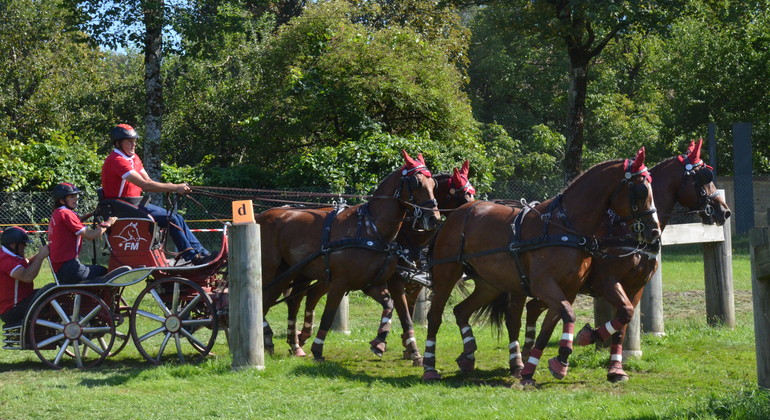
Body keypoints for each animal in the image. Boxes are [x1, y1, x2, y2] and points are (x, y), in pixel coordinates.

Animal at [274, 161, 474, 360]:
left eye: (471, 192)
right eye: (461, 194)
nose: (434, 218)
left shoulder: (413, 285)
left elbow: (406, 313)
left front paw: (407, 347)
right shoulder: (394, 282)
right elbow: (404, 315)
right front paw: (408, 348)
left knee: (310, 296)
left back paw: (300, 338)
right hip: (306, 273)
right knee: (297, 299)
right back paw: (296, 341)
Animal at [424, 148, 656, 384]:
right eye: (641, 190)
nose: (653, 230)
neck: (565, 227)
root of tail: (456, 214)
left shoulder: (568, 290)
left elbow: (551, 324)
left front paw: (533, 367)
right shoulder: (546, 285)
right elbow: (568, 315)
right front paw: (562, 358)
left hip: (490, 284)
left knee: (462, 310)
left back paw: (470, 354)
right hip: (447, 274)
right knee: (434, 316)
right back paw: (429, 366)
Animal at [496, 138, 728, 380]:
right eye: (703, 177)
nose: (724, 211)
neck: (625, 230)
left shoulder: (636, 287)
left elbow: (624, 322)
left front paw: (616, 367)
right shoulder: (606, 282)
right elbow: (624, 313)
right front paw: (588, 337)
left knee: (533, 308)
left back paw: (528, 352)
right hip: (520, 286)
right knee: (514, 318)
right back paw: (518, 363)